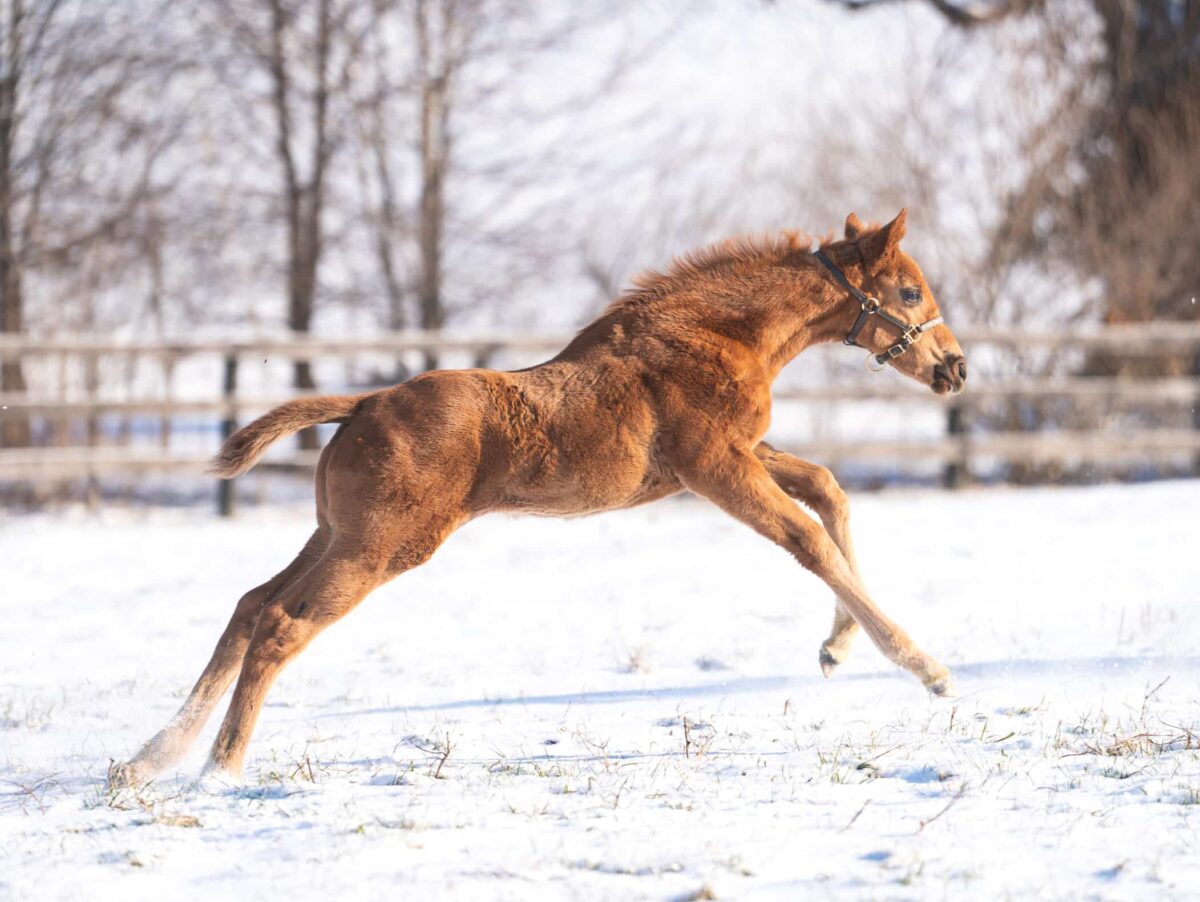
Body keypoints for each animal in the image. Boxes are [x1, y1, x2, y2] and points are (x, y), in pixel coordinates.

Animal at [112, 207, 969, 786]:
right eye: (907, 290)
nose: (955, 368)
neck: (716, 335)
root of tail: (361, 404)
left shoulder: (731, 457)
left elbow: (829, 491)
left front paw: (835, 648)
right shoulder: (714, 465)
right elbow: (807, 539)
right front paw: (925, 667)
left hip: (334, 532)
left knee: (251, 605)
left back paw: (149, 759)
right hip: (382, 545)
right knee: (283, 624)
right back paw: (219, 768)